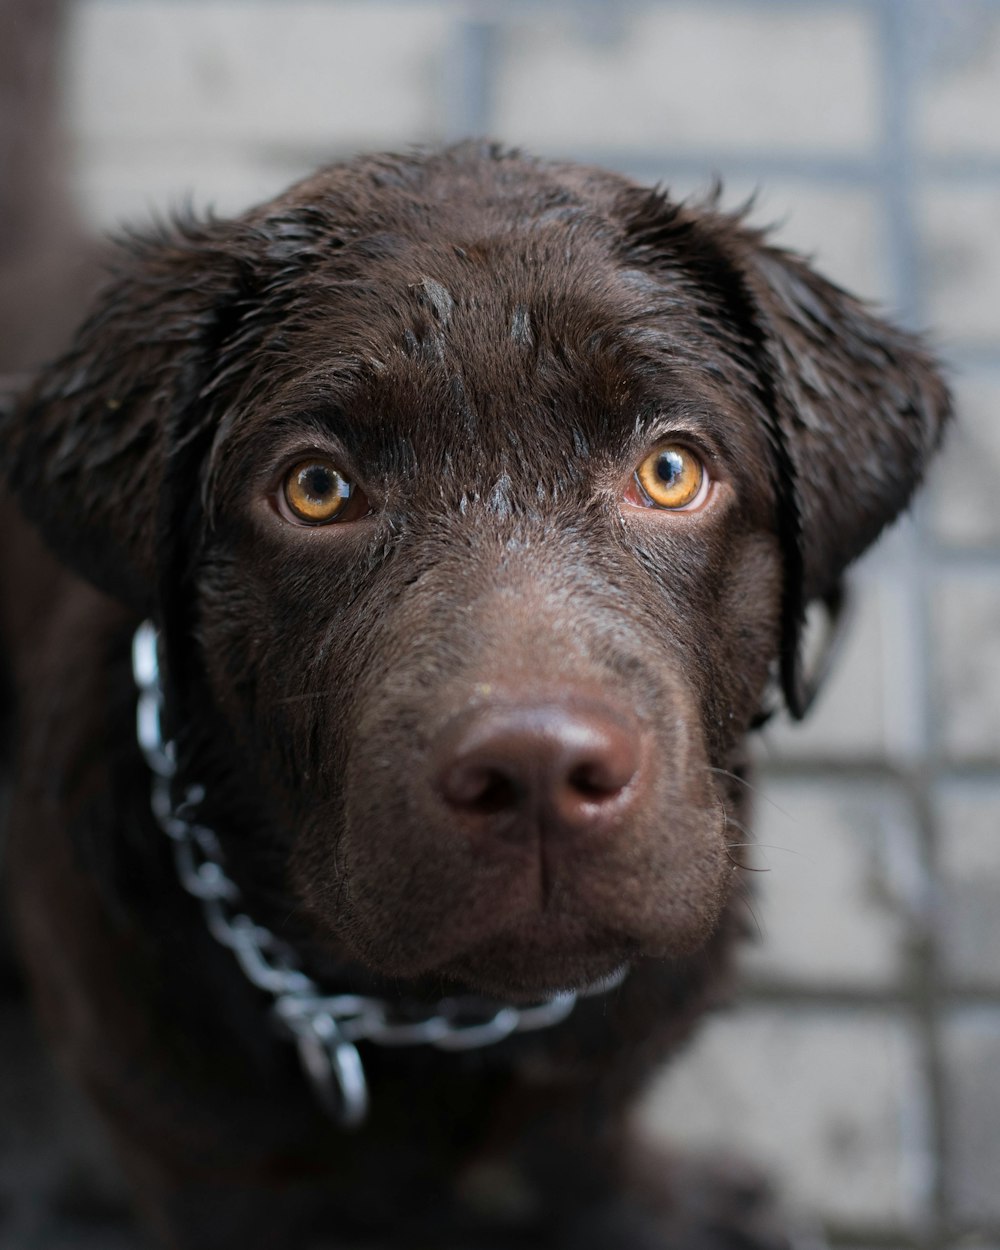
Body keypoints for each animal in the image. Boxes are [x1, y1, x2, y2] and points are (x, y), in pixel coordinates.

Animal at [0, 146, 950, 1250]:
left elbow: (586, 1150)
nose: (536, 769)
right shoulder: (200, 1158)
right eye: (316, 489)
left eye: (672, 470)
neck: (447, 1019)